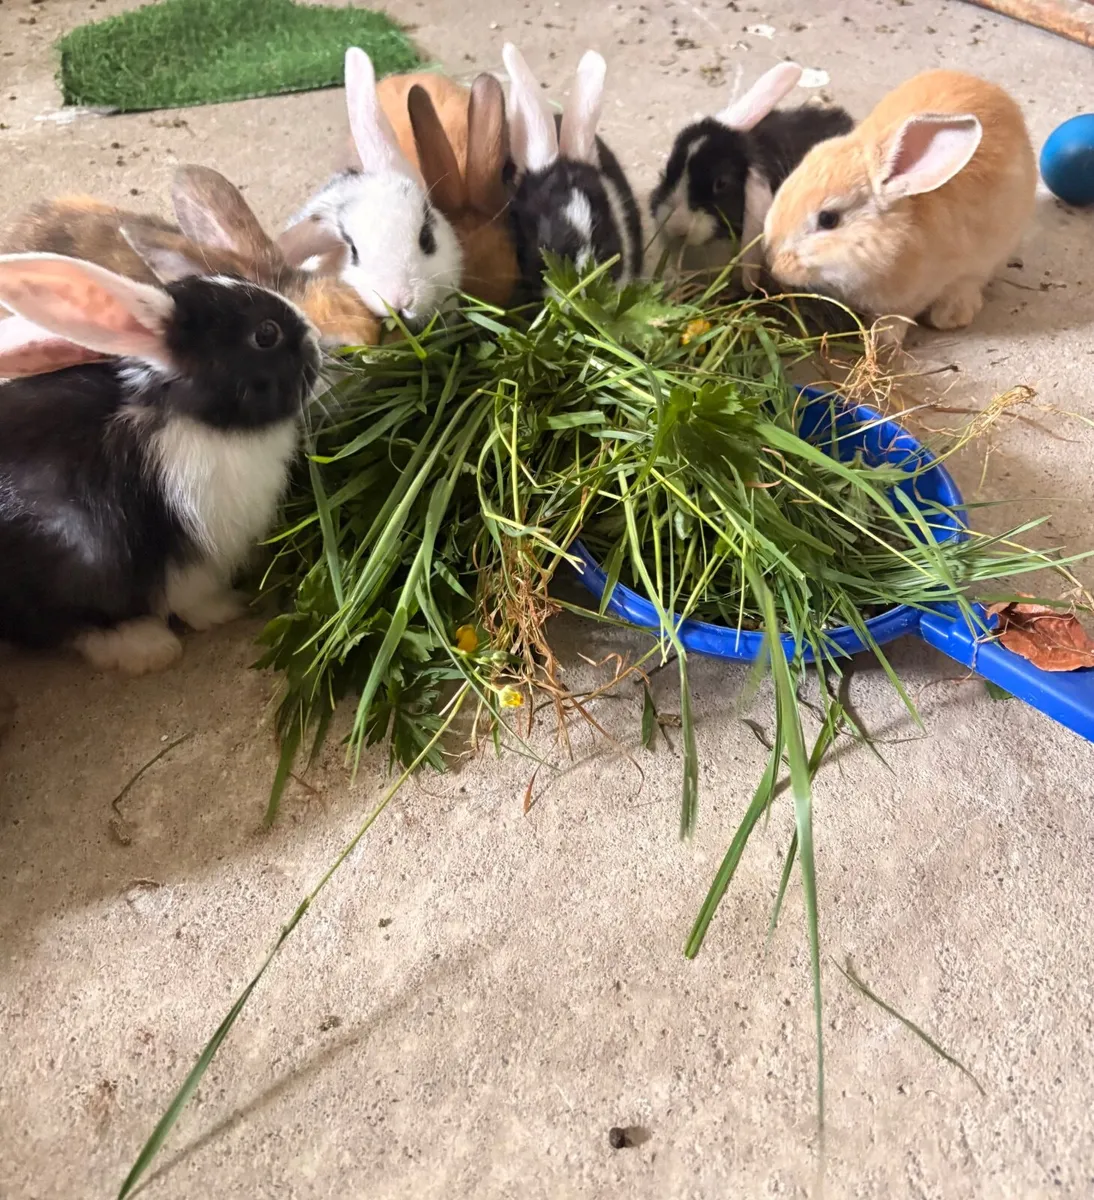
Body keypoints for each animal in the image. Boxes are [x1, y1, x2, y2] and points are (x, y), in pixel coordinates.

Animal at [0, 252, 321, 675]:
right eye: (266, 334)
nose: (316, 338)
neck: (196, 419)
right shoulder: (187, 549)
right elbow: (191, 596)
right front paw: (227, 609)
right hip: (73, 557)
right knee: (62, 624)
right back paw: (148, 646)